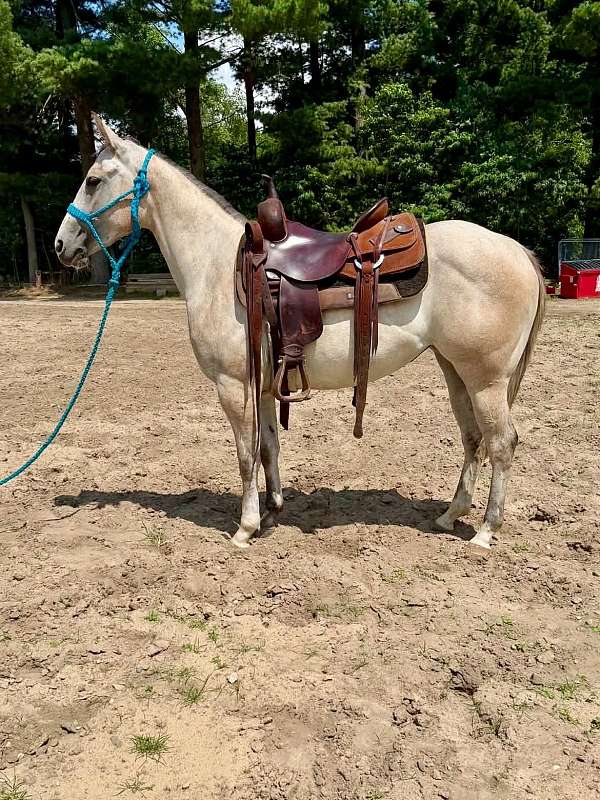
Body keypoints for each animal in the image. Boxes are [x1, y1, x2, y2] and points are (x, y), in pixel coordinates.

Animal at [55, 116, 545, 550]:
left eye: (93, 180)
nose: (61, 245)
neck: (217, 265)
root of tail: (516, 250)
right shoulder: (264, 384)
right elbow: (269, 447)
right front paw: (273, 512)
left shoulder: (233, 385)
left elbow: (245, 454)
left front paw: (245, 528)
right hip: (456, 371)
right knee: (473, 438)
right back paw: (449, 515)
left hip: (486, 379)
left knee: (502, 442)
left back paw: (486, 530)